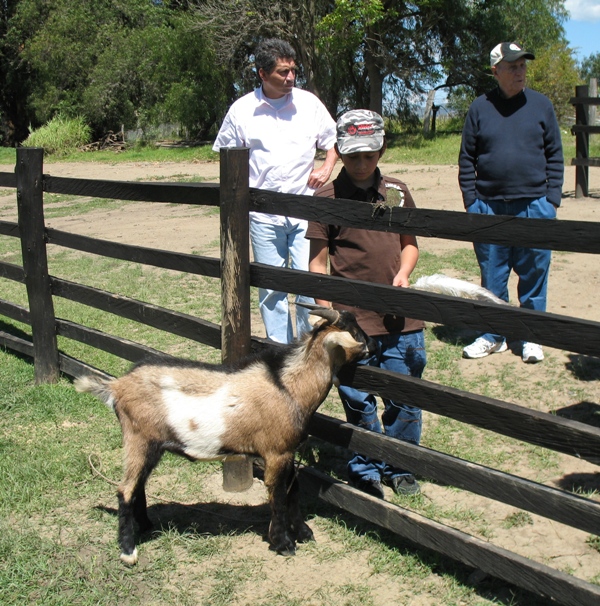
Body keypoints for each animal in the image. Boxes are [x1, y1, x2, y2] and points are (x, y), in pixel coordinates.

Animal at [72, 306, 372, 568]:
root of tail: (117, 386)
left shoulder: (289, 452)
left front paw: (303, 532)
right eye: (355, 332)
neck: (288, 387)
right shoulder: (276, 452)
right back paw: (128, 551)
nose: (373, 343)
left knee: (138, 485)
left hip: (151, 445)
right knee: (125, 489)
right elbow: (278, 494)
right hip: (138, 438)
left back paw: (145, 526)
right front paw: (283, 543)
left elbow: (293, 489)